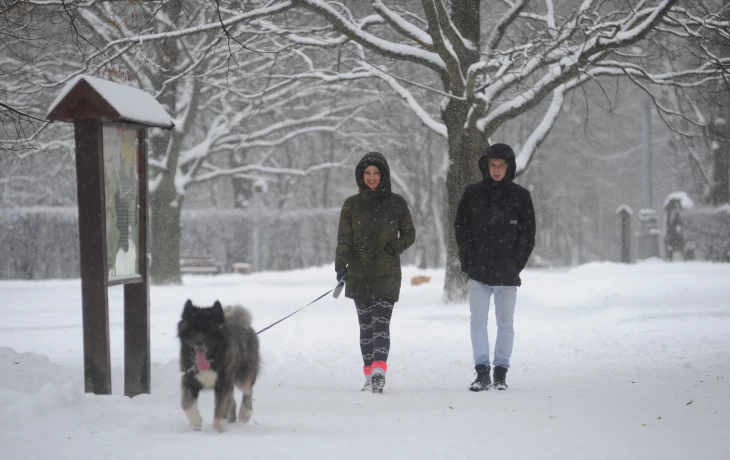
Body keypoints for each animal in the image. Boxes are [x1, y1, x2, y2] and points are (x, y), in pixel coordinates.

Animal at [176, 298, 258, 432]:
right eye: (192, 331)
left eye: (208, 331)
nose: (199, 343)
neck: (211, 358)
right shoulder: (188, 380)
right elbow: (186, 404)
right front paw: (196, 422)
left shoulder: (223, 383)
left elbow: (221, 407)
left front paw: (218, 429)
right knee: (232, 399)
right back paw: (231, 419)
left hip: (242, 377)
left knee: (247, 391)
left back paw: (244, 415)